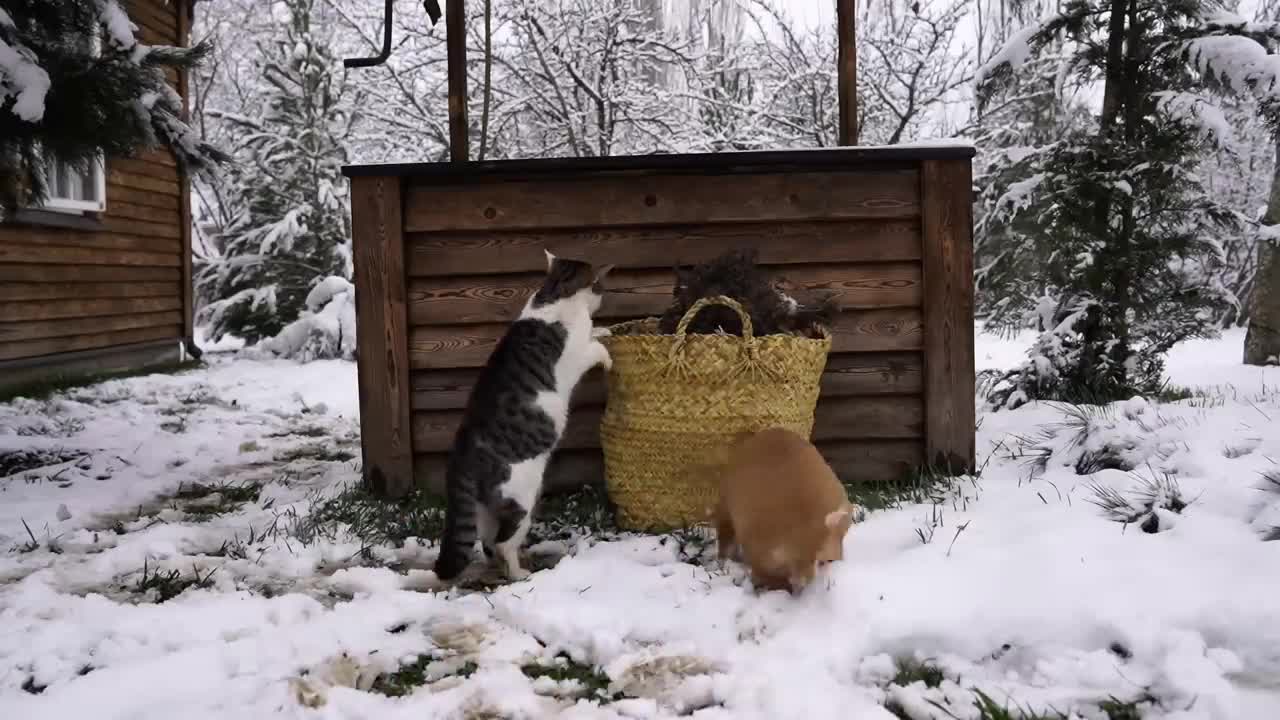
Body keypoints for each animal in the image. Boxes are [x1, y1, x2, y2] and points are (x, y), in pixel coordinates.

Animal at [435, 249, 614, 579]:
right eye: (600, 286)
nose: (602, 298)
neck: (554, 292)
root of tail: (461, 458)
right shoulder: (577, 356)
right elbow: (595, 348)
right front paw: (607, 355)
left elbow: (596, 334)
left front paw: (605, 328)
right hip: (522, 498)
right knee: (503, 542)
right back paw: (519, 574)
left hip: (486, 509)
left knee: (488, 542)